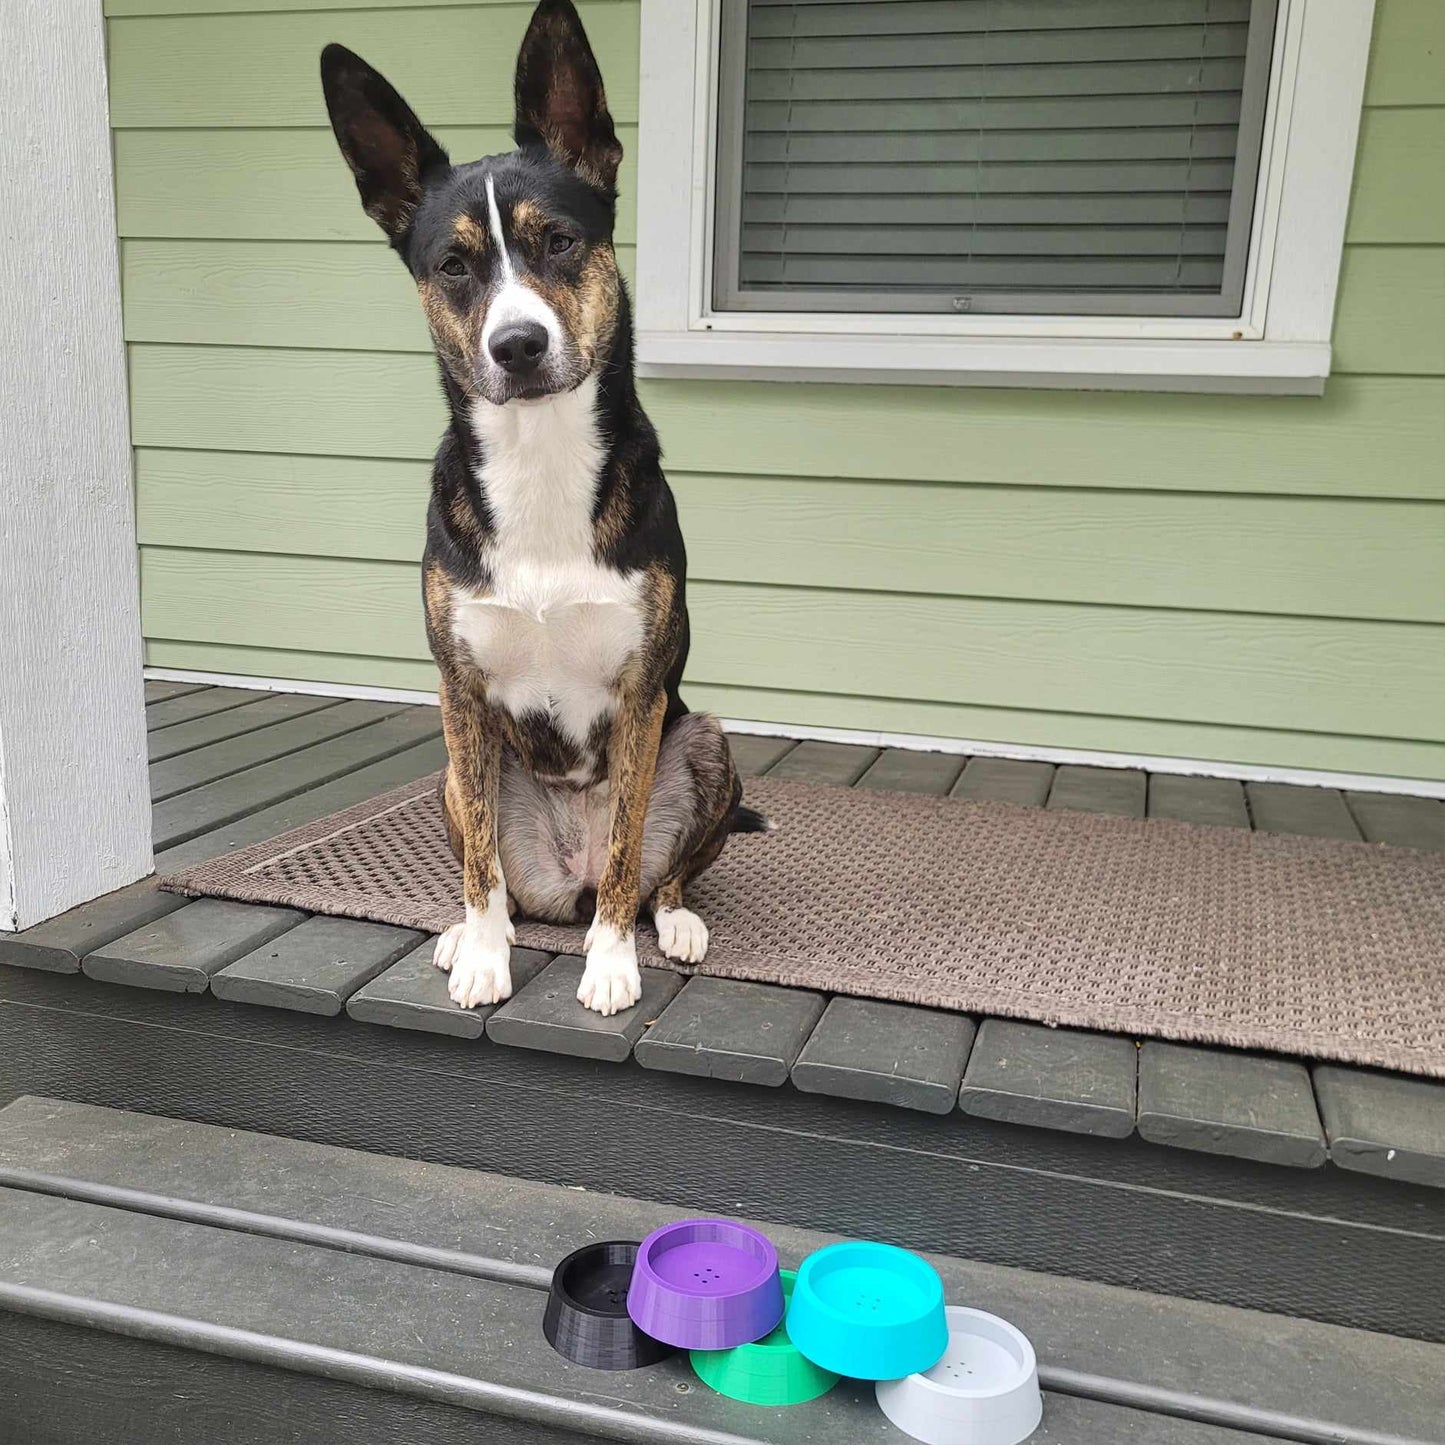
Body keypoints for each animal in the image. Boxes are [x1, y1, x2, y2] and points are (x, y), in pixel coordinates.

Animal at [320, 0, 762, 1017]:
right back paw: (471, 929)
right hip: (453, 771)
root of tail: (566, 876)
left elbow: (631, 843)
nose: (517, 344)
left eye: (558, 240)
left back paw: (671, 921)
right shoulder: (460, 692)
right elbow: (482, 867)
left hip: (705, 739)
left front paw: (611, 962)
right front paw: (483, 952)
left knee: (655, 873)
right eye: (452, 264)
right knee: (502, 872)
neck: (541, 460)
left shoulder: (643, 692)